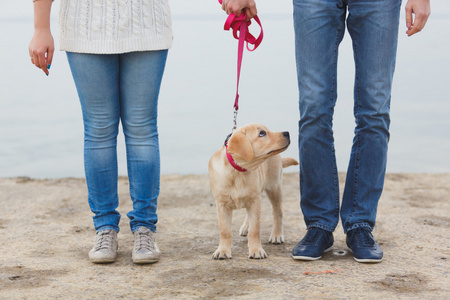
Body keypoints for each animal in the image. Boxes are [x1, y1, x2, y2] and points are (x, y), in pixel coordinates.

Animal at [208, 123, 298, 258]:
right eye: (262, 133)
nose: (286, 133)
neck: (238, 171)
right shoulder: (222, 204)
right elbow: (225, 231)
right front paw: (223, 251)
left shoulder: (255, 201)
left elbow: (255, 229)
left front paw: (256, 250)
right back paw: (246, 227)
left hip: (274, 187)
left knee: (278, 211)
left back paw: (276, 234)